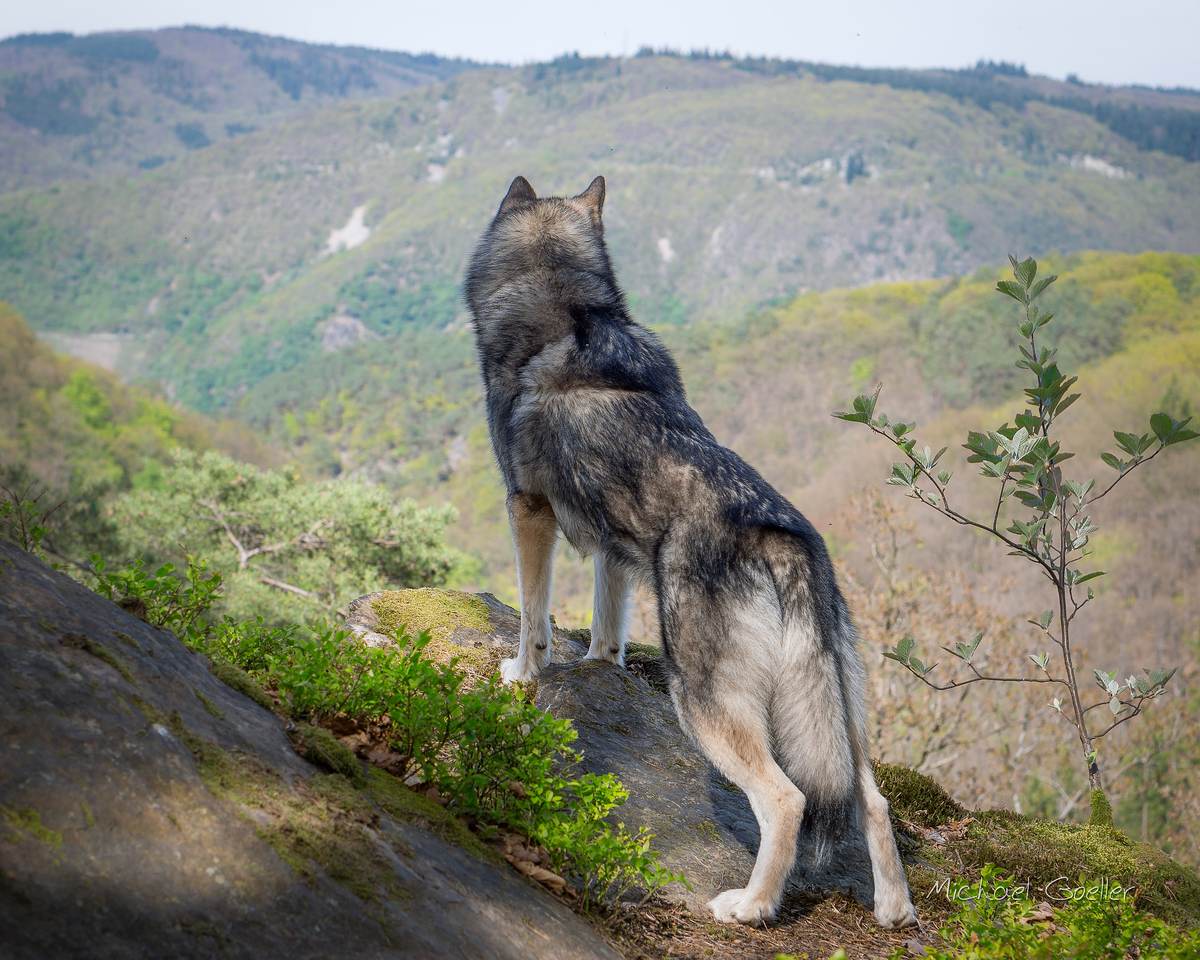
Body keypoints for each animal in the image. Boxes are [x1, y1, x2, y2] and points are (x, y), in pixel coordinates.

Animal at [464, 175, 917, 928]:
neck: (570, 310)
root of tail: (778, 533)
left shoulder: (528, 512)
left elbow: (533, 618)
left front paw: (523, 674)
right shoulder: (613, 547)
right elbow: (607, 626)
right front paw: (599, 665)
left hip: (703, 700)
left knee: (787, 799)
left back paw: (752, 905)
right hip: (838, 707)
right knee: (872, 800)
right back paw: (894, 910)